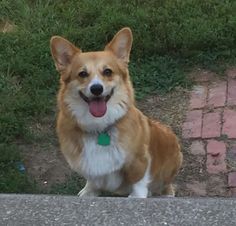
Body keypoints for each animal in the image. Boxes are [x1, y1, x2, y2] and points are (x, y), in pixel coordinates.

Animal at [50, 27, 183, 198]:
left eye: (108, 71)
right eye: (82, 74)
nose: (96, 89)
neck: (99, 129)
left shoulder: (139, 160)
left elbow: (138, 182)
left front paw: (137, 196)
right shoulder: (90, 168)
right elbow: (92, 181)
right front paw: (89, 192)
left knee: (166, 185)